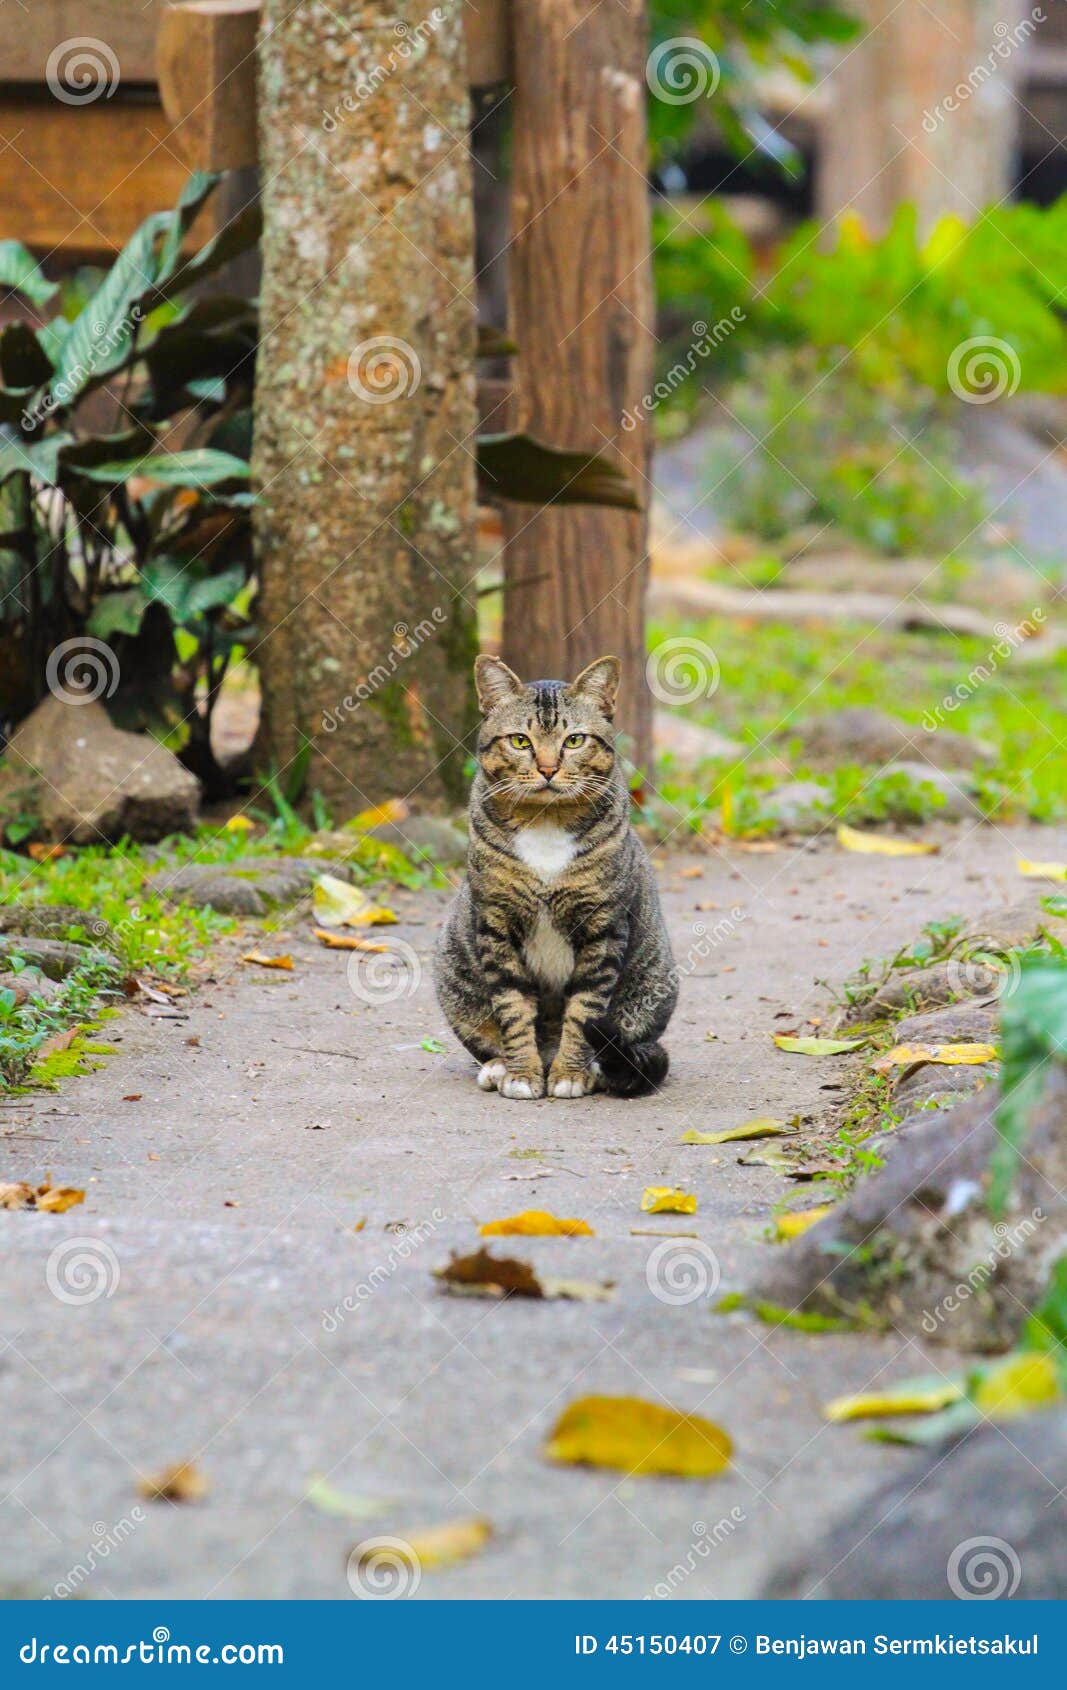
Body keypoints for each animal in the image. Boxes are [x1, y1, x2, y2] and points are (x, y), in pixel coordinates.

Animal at [432, 652, 676, 1101]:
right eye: (520, 741)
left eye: (574, 740)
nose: (547, 768)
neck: (546, 820)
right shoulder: (495, 923)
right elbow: (512, 1008)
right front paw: (522, 1074)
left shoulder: (603, 926)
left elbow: (584, 1011)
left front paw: (570, 1073)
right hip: (451, 967)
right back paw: (499, 1065)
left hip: (653, 983)